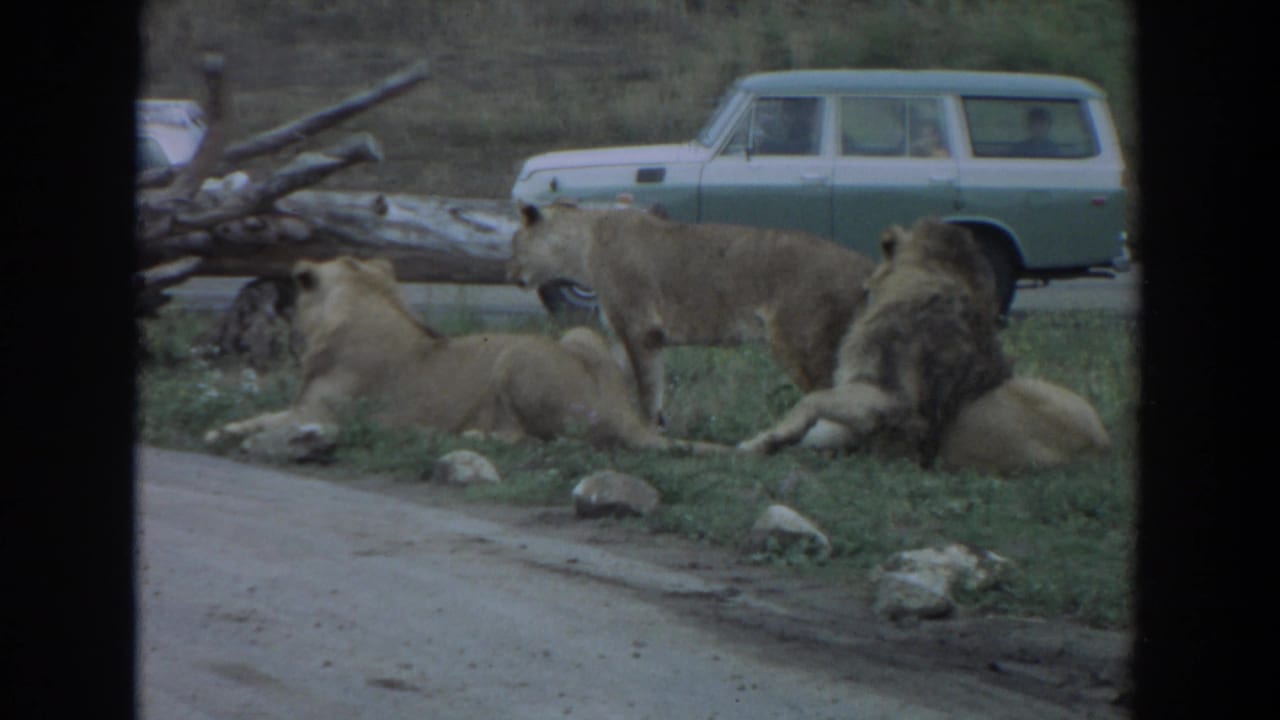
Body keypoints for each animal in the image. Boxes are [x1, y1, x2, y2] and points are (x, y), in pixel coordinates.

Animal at [204, 256, 725, 454]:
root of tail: (625, 414)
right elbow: (259, 414)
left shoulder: (319, 416)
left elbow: (256, 421)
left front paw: (218, 431)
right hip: (580, 334)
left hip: (516, 359)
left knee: (541, 440)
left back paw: (470, 437)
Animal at [508, 201, 876, 427]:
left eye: (514, 245)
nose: (510, 276)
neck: (583, 247)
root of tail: (865, 265)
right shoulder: (634, 336)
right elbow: (627, 380)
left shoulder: (640, 328)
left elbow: (646, 388)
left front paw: (648, 433)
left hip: (799, 340)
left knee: (830, 394)